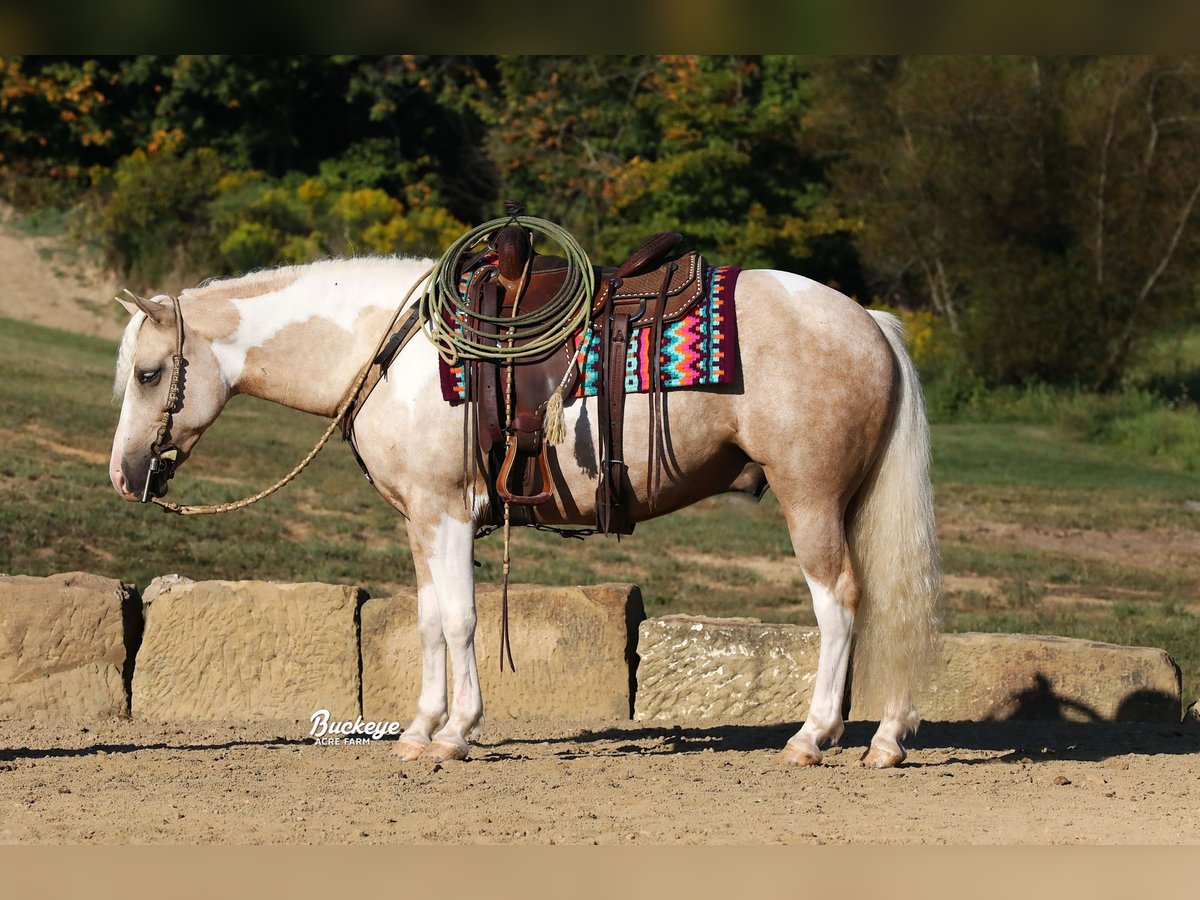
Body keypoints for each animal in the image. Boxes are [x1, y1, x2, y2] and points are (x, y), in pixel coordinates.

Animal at [108, 254, 940, 768]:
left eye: (149, 374)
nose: (123, 476)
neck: (396, 353)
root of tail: (869, 321)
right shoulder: (419, 519)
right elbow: (427, 621)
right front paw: (419, 730)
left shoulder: (445, 512)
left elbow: (459, 620)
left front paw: (456, 734)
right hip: (852, 503)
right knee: (892, 603)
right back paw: (887, 739)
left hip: (812, 500)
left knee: (840, 605)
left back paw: (813, 736)